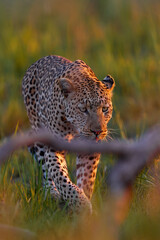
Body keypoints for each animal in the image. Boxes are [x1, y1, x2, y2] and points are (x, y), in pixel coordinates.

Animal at [22, 55, 115, 213]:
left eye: (105, 109)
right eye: (83, 109)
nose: (97, 132)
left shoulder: (89, 151)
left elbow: (86, 178)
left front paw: (85, 204)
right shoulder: (54, 149)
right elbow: (60, 176)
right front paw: (80, 202)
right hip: (38, 131)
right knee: (45, 169)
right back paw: (51, 193)